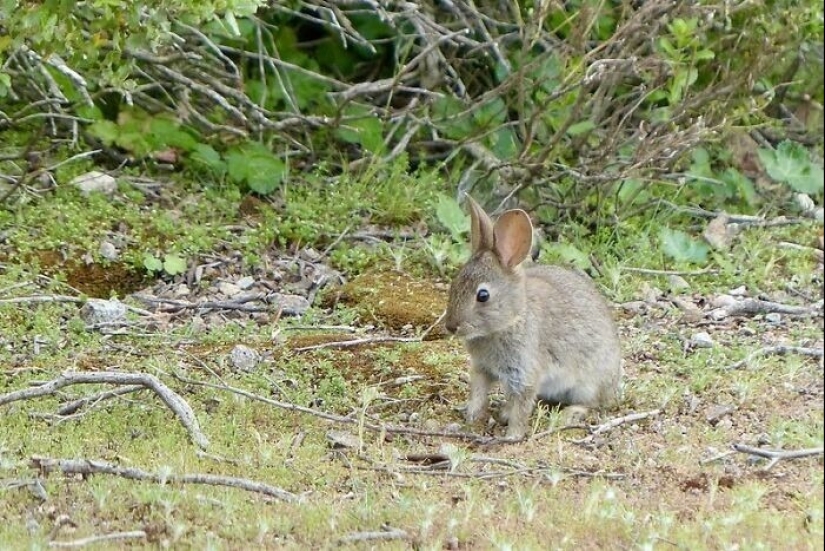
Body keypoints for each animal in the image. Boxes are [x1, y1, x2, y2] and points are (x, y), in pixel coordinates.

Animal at [444, 195, 616, 440]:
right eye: (454, 283)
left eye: (483, 296)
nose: (451, 326)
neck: (511, 320)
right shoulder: (482, 369)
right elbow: (478, 393)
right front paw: (470, 416)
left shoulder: (525, 373)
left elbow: (522, 406)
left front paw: (512, 437)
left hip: (588, 384)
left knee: (593, 404)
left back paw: (569, 414)